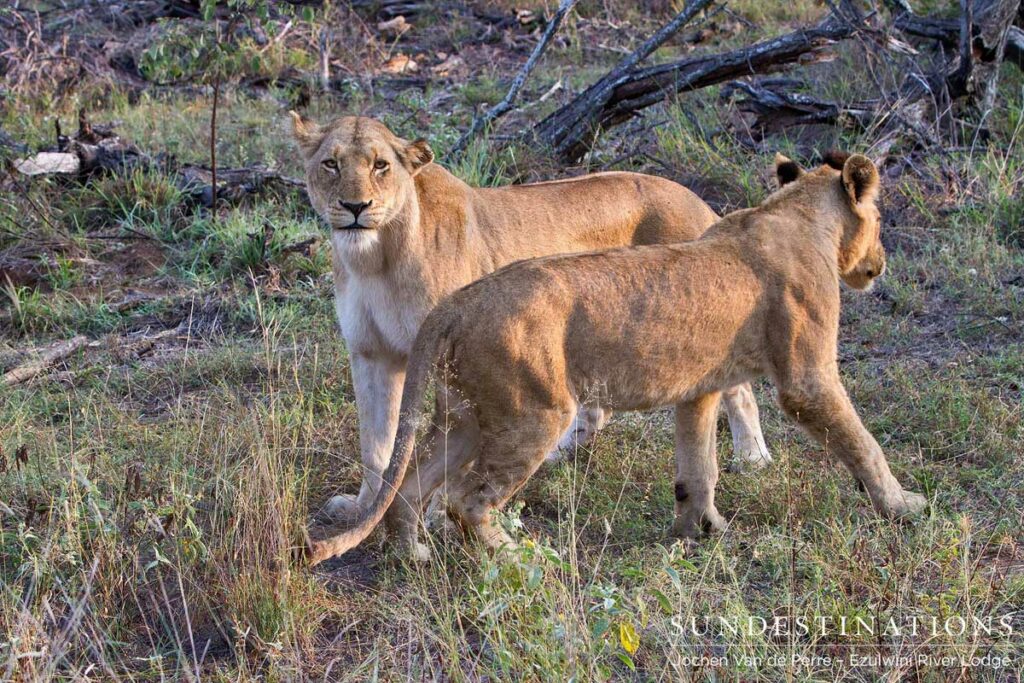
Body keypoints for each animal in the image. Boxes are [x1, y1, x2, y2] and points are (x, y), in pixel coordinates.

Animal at [290, 112, 772, 521]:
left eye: (381, 165)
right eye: (331, 163)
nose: (355, 207)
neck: (376, 258)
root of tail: (698, 200)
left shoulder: (445, 353)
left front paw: (431, 514)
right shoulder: (370, 354)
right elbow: (375, 442)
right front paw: (365, 508)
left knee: (738, 387)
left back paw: (753, 458)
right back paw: (560, 449)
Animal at [305, 151, 928, 565]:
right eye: (879, 218)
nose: (879, 262)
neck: (796, 215)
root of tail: (455, 303)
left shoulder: (699, 389)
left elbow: (698, 465)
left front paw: (701, 529)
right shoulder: (807, 379)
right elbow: (862, 443)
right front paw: (903, 506)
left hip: (468, 415)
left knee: (411, 487)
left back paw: (412, 556)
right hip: (532, 414)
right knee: (465, 500)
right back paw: (522, 557)